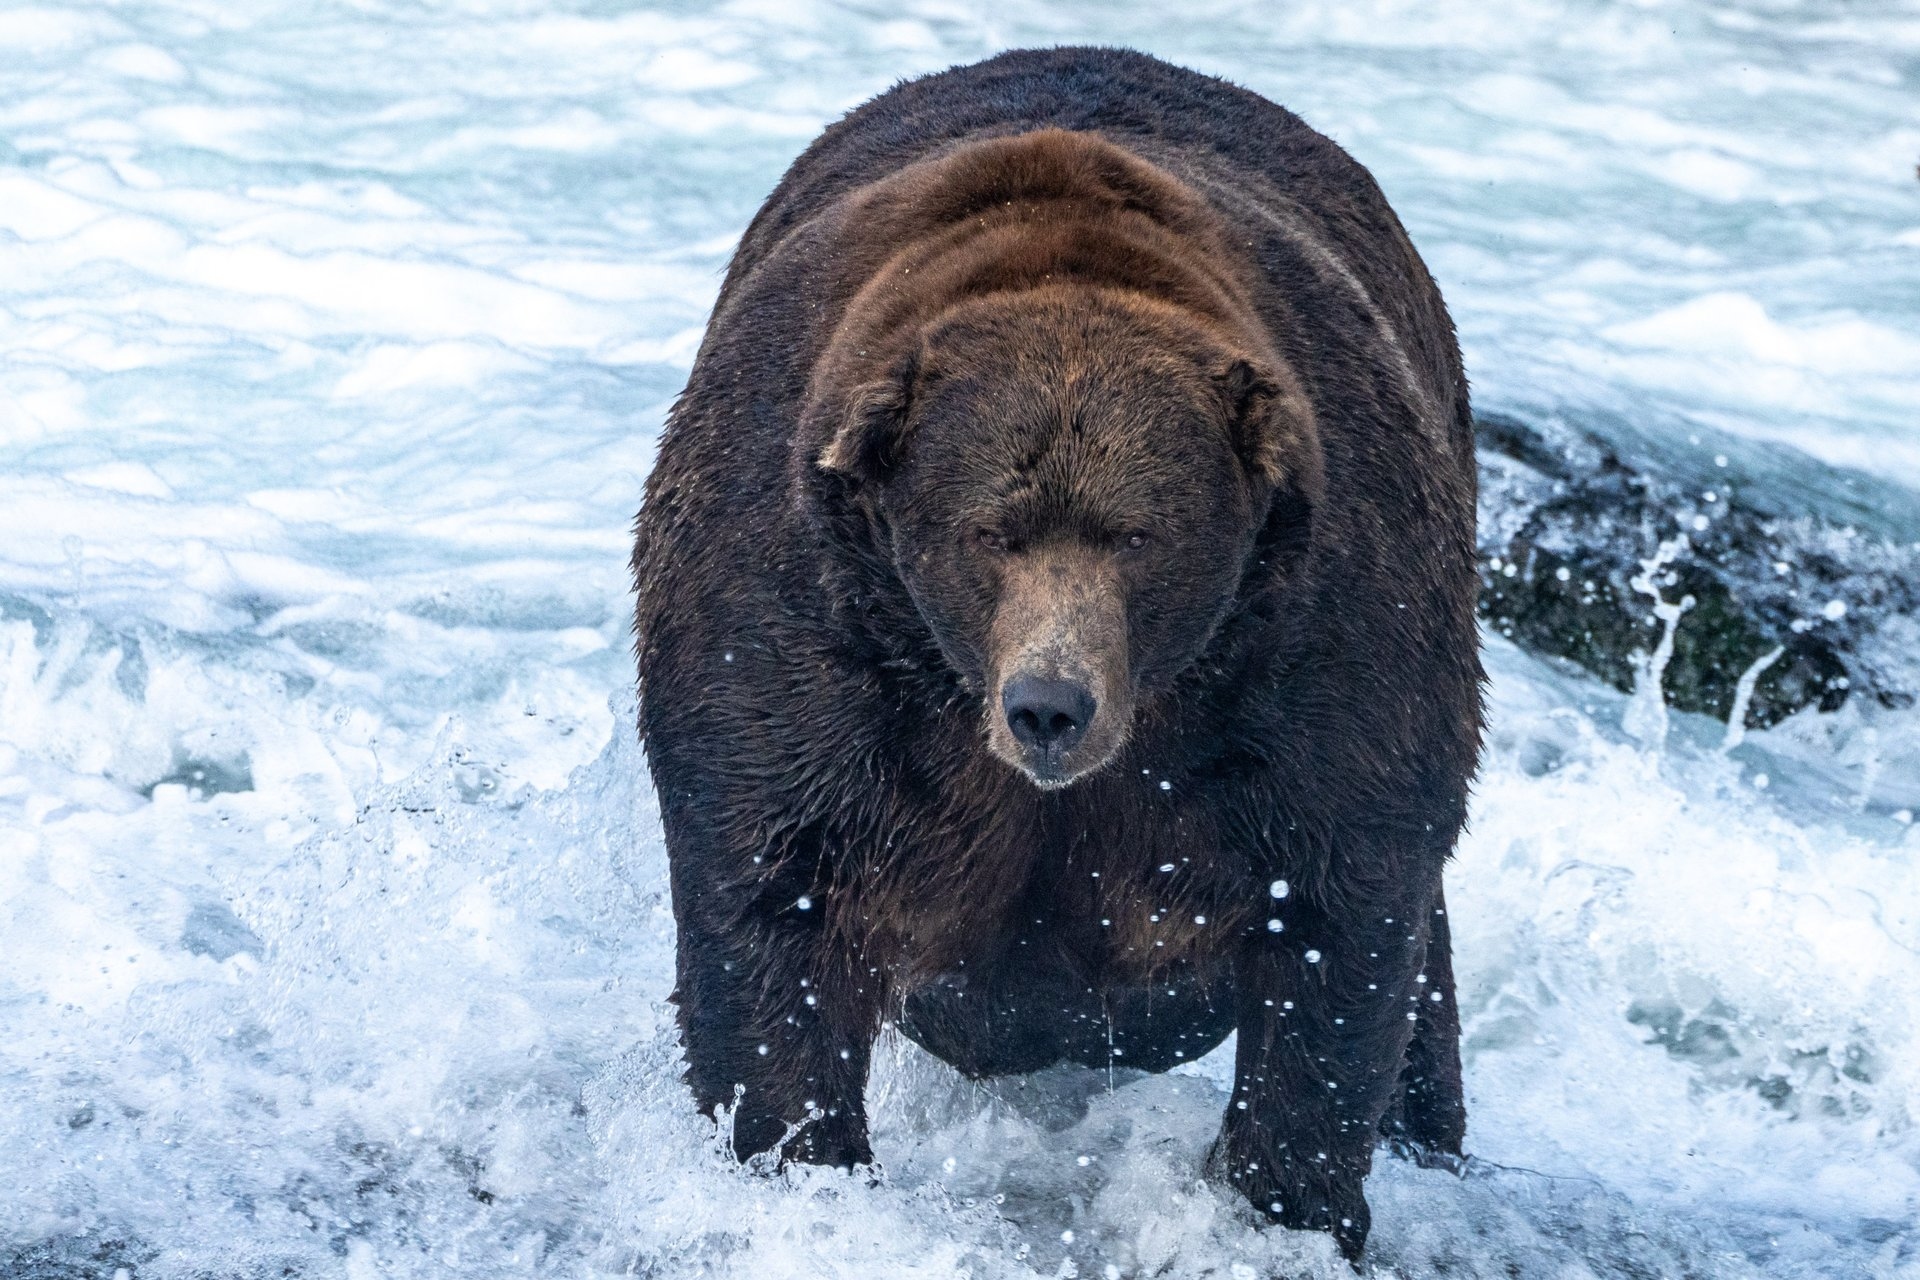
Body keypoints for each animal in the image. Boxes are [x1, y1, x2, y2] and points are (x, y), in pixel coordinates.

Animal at [633, 47, 1482, 1258]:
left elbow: (1340, 916)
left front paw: (1287, 1200)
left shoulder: (1324, 633)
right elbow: (774, 894)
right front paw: (800, 1154)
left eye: (1137, 534)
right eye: (990, 531)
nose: (1049, 704)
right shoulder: (802, 619)